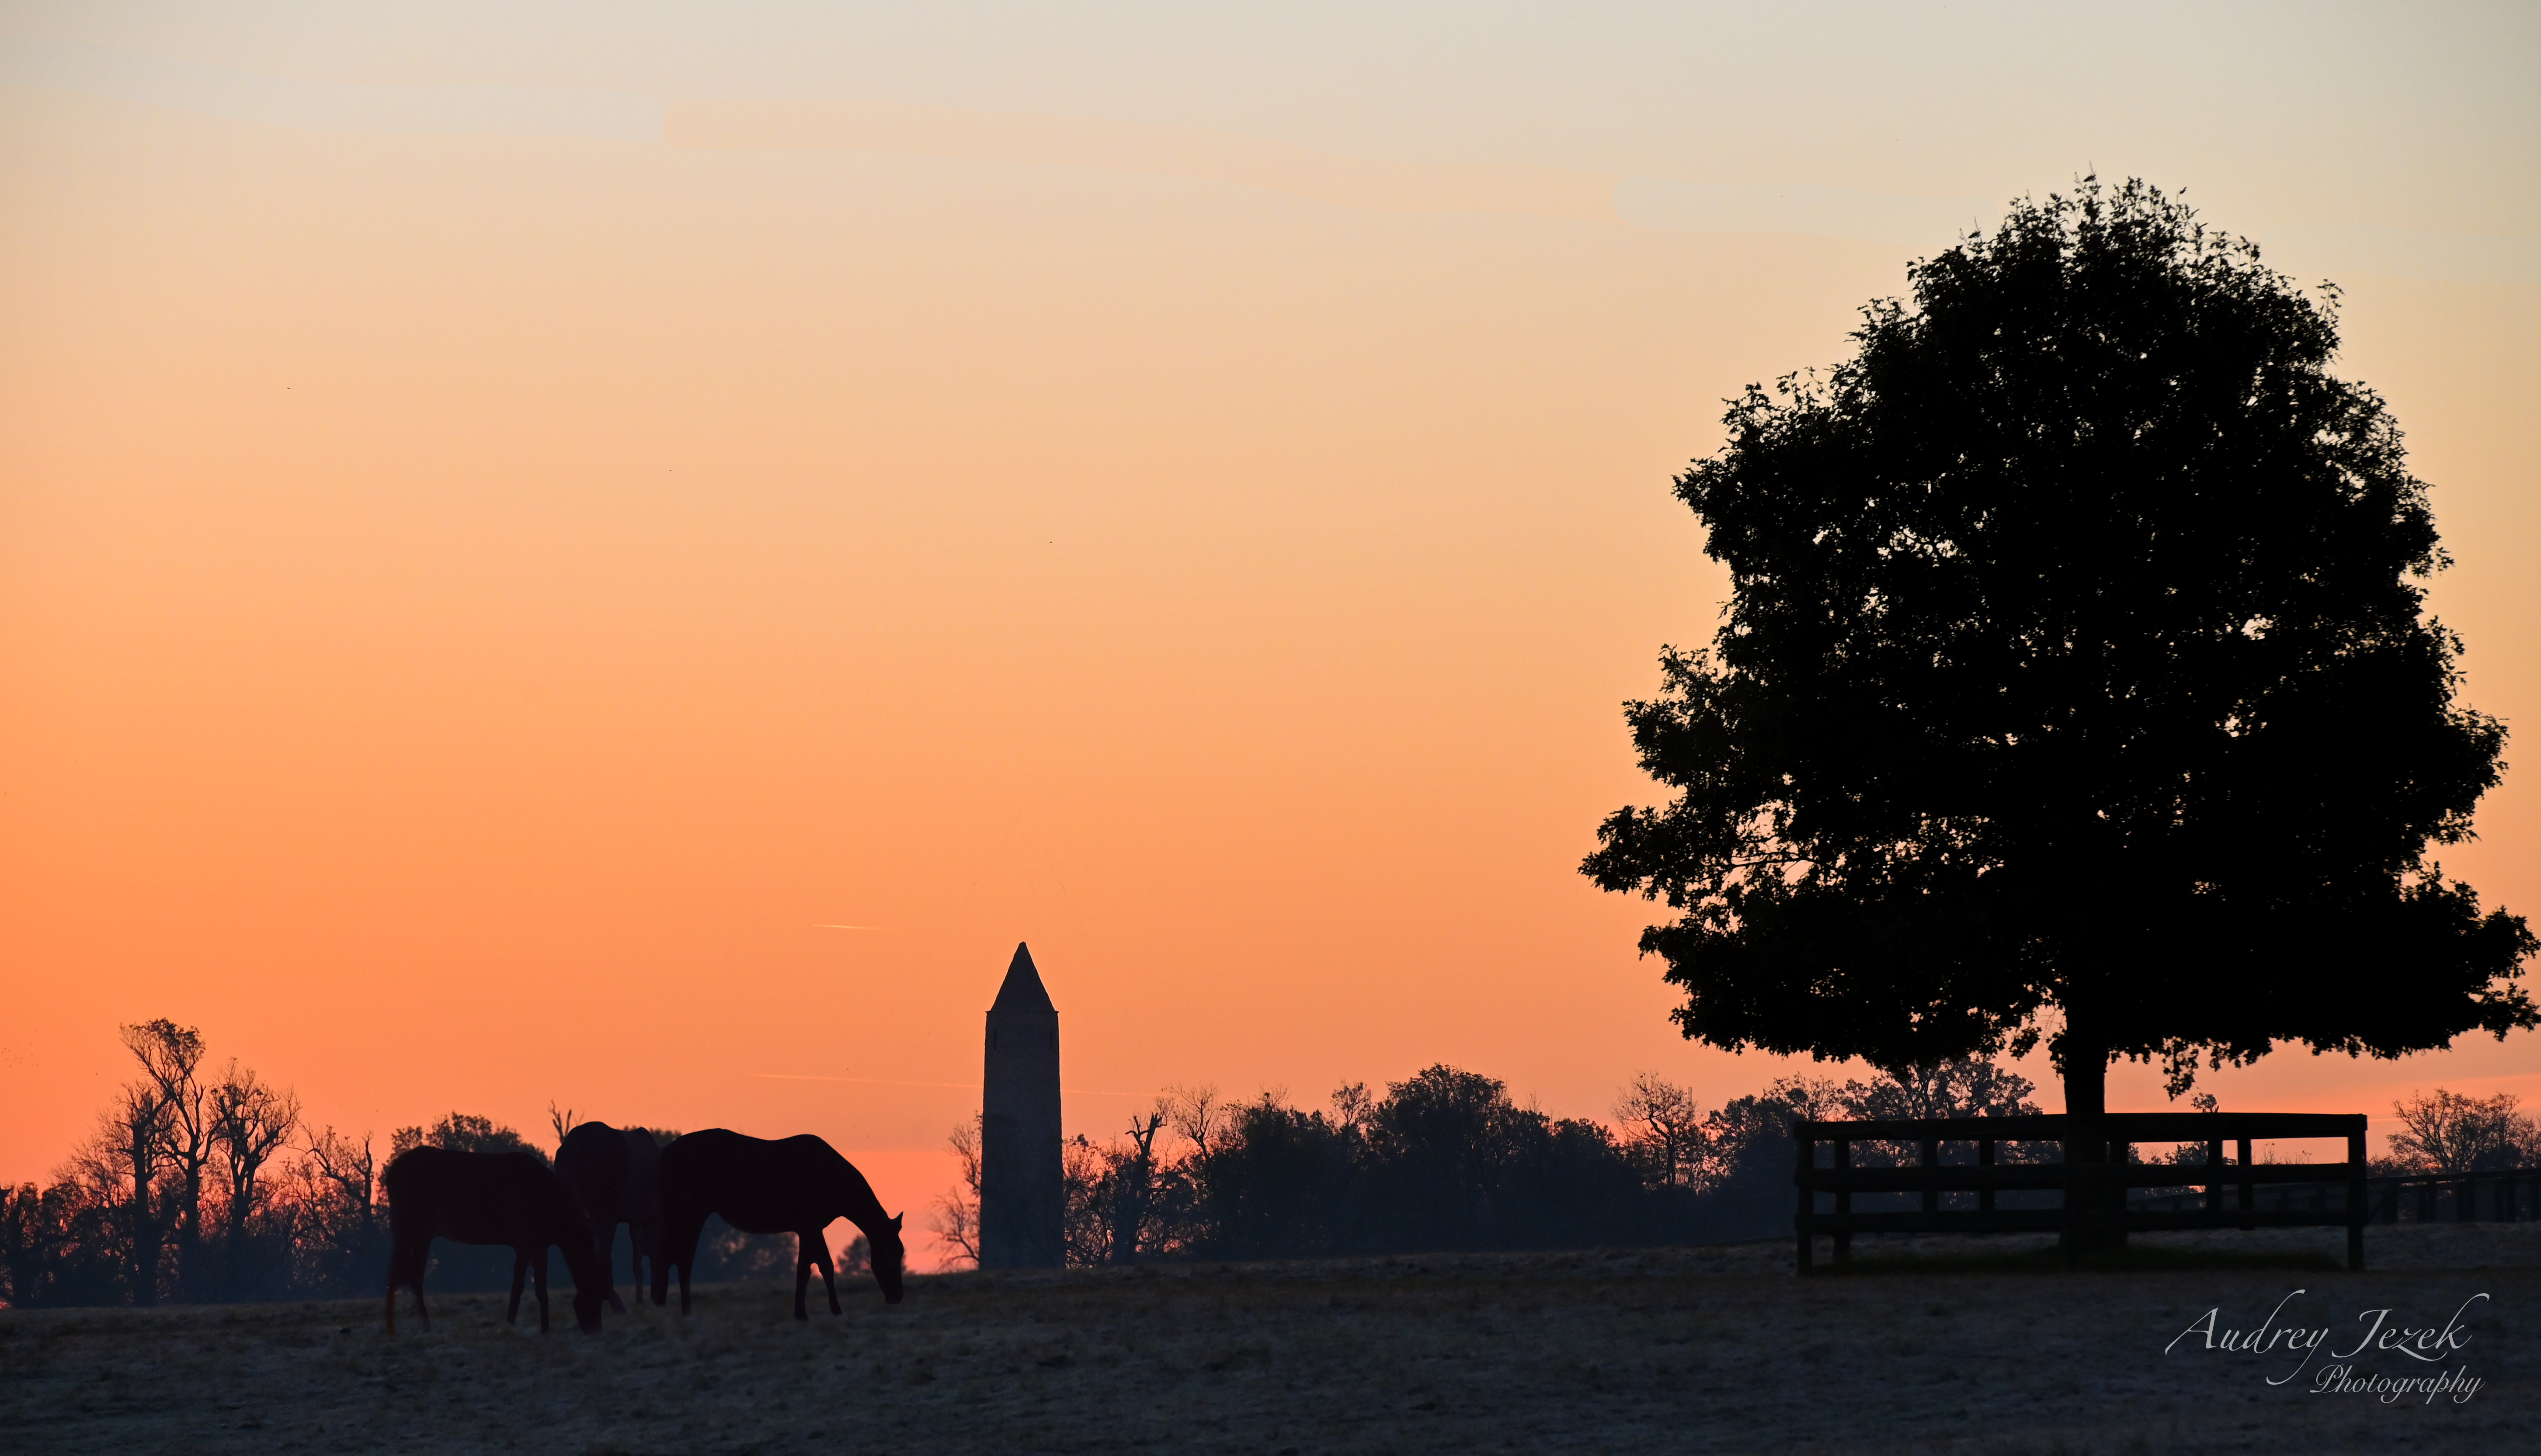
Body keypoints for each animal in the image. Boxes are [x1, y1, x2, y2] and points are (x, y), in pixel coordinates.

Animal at [381, 1143, 605, 1331]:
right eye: (593, 1301)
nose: (595, 1331)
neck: (560, 1224)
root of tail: (390, 1175)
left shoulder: (523, 1245)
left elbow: (517, 1289)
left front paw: (510, 1325)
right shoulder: (536, 1240)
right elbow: (541, 1291)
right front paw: (545, 1331)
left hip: (422, 1233)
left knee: (412, 1275)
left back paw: (423, 1326)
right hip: (409, 1224)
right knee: (399, 1273)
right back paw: (396, 1329)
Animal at [551, 1118, 666, 1311]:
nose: (659, 1299)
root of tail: (573, 1146)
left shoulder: (634, 1218)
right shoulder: (636, 1217)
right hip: (605, 1214)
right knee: (603, 1255)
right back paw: (614, 1303)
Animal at [650, 1123, 910, 1321]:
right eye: (892, 1253)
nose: (897, 1297)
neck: (833, 1180)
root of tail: (665, 1154)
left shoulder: (807, 1229)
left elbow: (805, 1269)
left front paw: (801, 1314)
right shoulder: (811, 1227)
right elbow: (824, 1266)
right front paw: (834, 1312)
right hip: (689, 1215)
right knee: (679, 1263)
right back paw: (683, 1313)